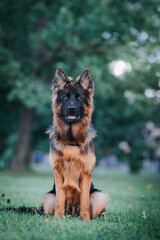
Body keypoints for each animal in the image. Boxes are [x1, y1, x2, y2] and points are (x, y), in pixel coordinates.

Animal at [43, 68, 108, 221]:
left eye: (79, 98)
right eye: (65, 98)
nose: (71, 109)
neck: (71, 141)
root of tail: (72, 212)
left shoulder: (85, 174)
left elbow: (84, 200)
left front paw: (86, 220)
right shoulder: (58, 173)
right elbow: (60, 200)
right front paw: (57, 219)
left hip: (98, 195)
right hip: (49, 197)